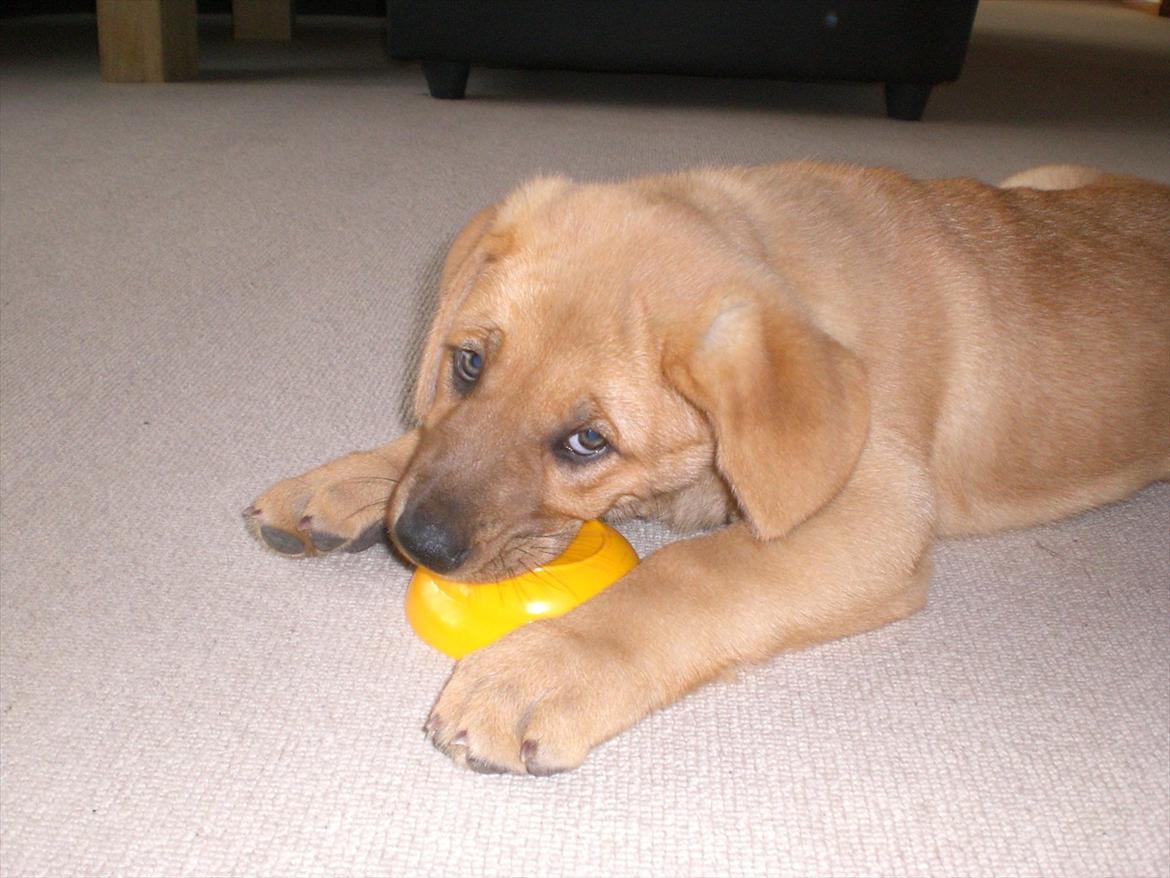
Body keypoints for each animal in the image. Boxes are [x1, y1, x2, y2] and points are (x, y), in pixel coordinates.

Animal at [242, 163, 1165, 777]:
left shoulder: (874, 509)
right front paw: (343, 483)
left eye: (588, 443)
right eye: (467, 364)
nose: (419, 544)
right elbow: (423, 437)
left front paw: (537, 672)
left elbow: (687, 576)